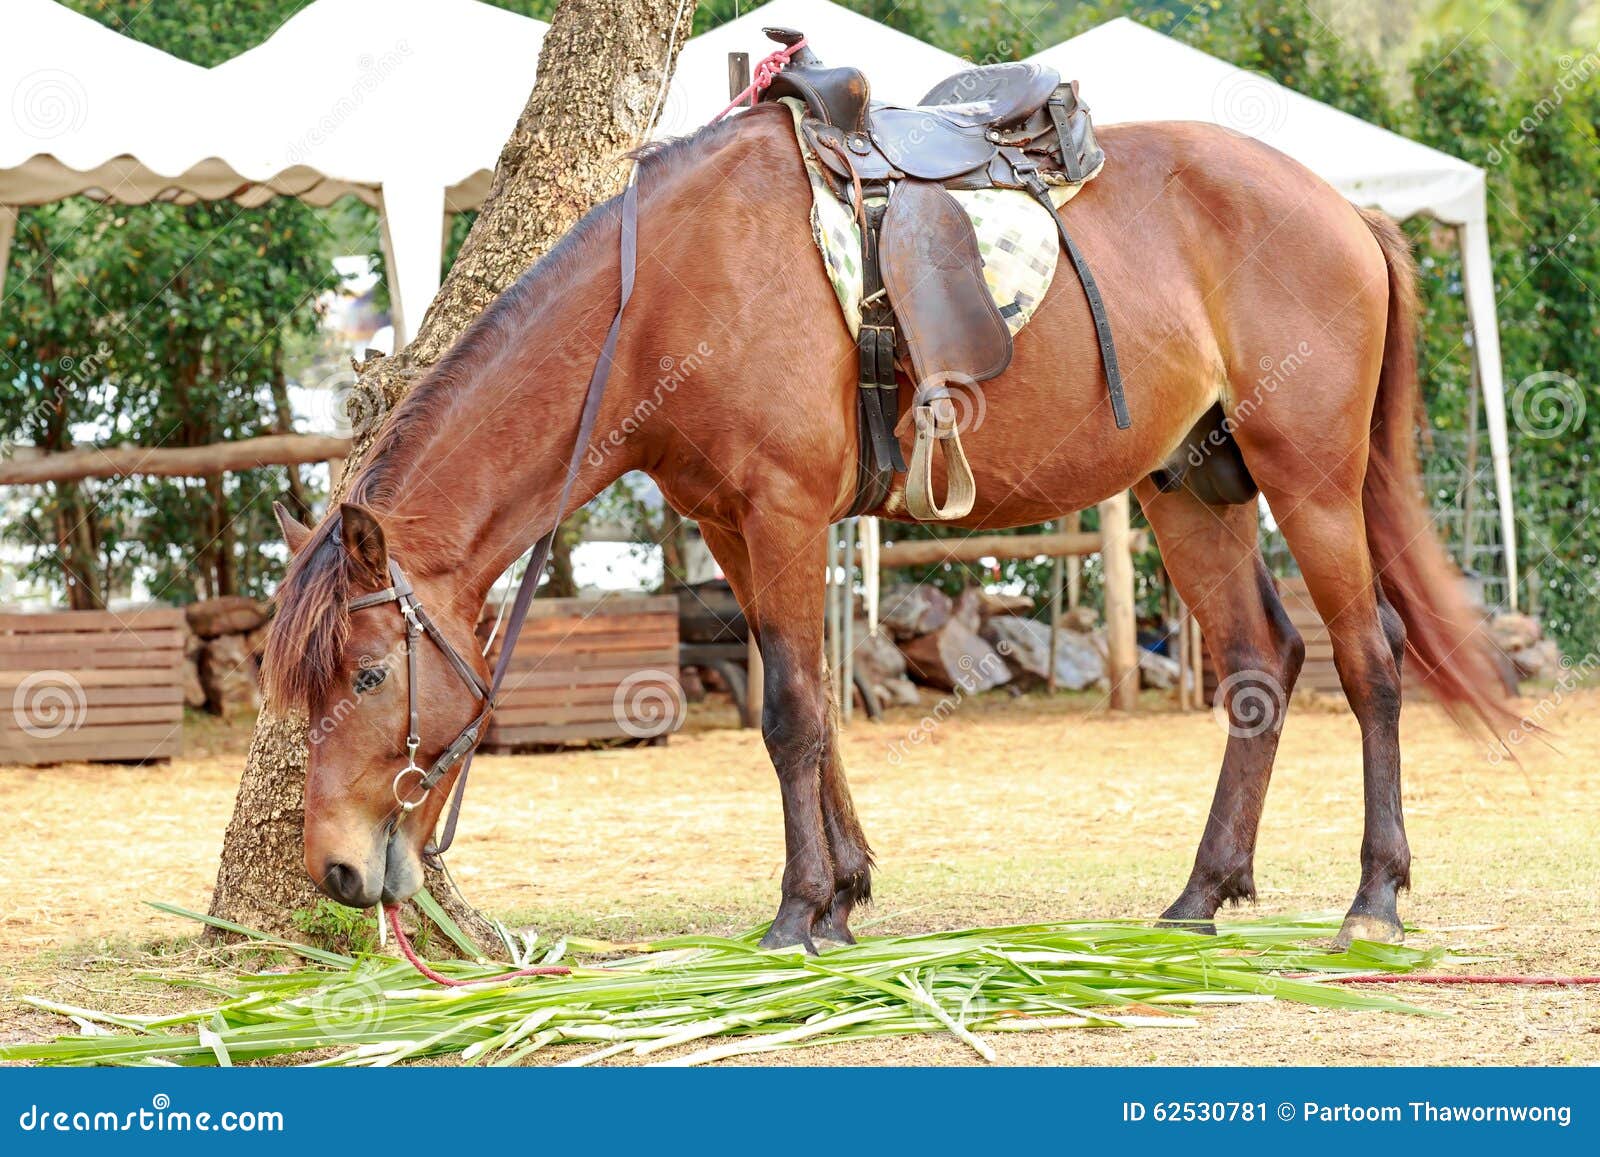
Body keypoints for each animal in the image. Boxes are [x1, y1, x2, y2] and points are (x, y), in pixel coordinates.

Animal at [265, 102, 1510, 947]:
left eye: (368, 676)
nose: (332, 870)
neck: (662, 291)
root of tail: (1343, 205)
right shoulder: (734, 525)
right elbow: (805, 700)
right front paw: (844, 891)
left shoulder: (779, 513)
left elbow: (791, 713)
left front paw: (798, 908)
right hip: (1190, 488)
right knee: (1259, 662)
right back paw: (1202, 891)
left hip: (1311, 479)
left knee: (1370, 658)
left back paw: (1373, 896)